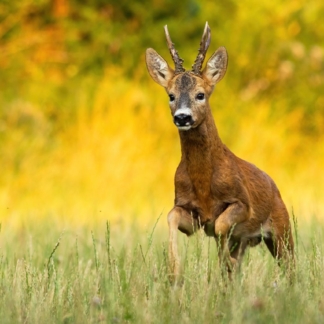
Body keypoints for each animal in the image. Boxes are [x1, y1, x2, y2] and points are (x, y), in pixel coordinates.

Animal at [146, 22, 294, 278]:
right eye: (171, 96)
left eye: (201, 94)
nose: (182, 117)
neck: (204, 184)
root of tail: (274, 186)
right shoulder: (191, 213)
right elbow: (172, 216)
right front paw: (175, 272)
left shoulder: (242, 203)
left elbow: (221, 224)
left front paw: (226, 262)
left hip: (282, 227)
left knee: (292, 267)